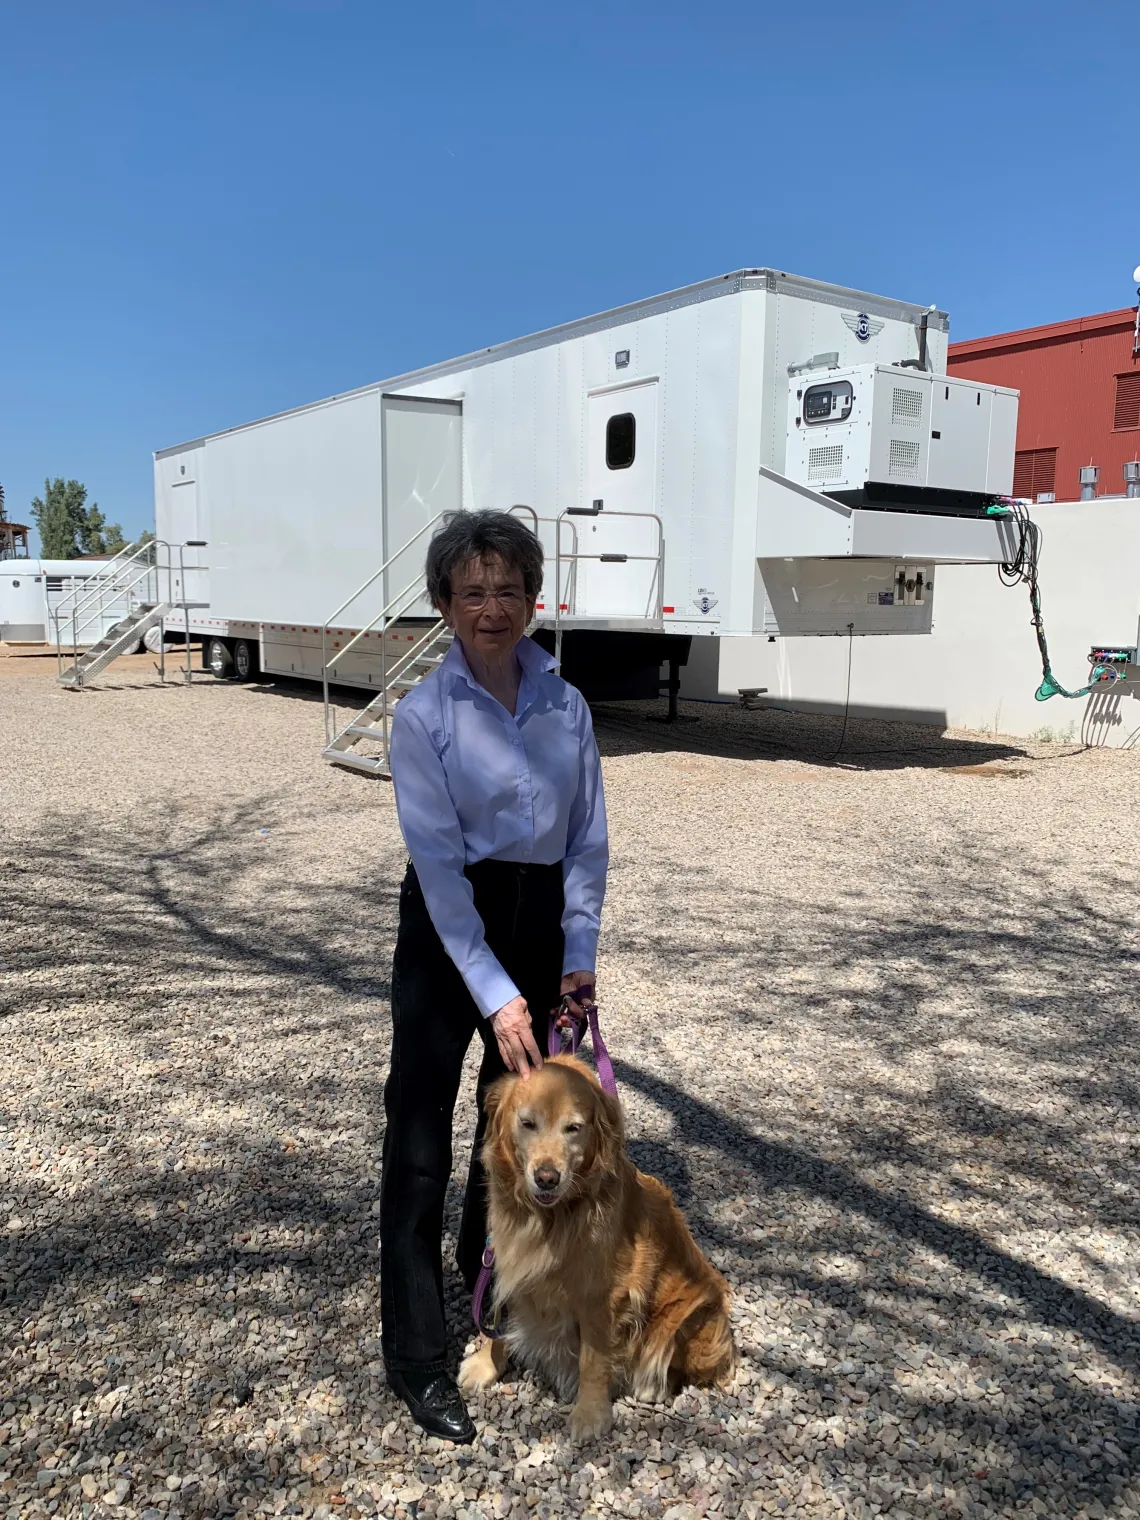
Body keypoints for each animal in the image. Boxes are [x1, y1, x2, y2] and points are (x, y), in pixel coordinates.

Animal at [459, 1057, 735, 1434]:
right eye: (528, 1123)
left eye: (573, 1128)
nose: (547, 1178)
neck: (549, 1218)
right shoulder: (504, 1259)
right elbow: (495, 1318)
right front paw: (485, 1364)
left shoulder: (604, 1294)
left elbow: (593, 1358)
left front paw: (590, 1414)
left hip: (690, 1311)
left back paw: (651, 1386)